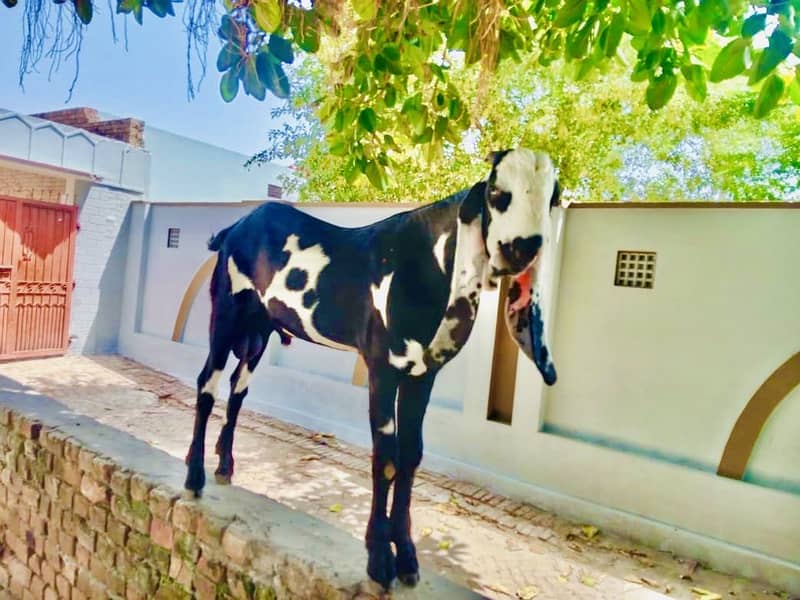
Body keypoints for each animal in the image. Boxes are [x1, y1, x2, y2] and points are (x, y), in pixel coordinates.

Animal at [184, 148, 560, 589]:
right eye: (497, 192)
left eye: (553, 198)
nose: (522, 249)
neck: (423, 264)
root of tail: (235, 227)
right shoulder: (382, 369)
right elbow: (387, 456)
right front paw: (380, 559)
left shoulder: (422, 376)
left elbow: (411, 455)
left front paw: (407, 556)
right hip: (226, 316)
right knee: (206, 385)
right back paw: (194, 477)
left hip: (258, 334)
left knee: (237, 391)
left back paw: (225, 465)